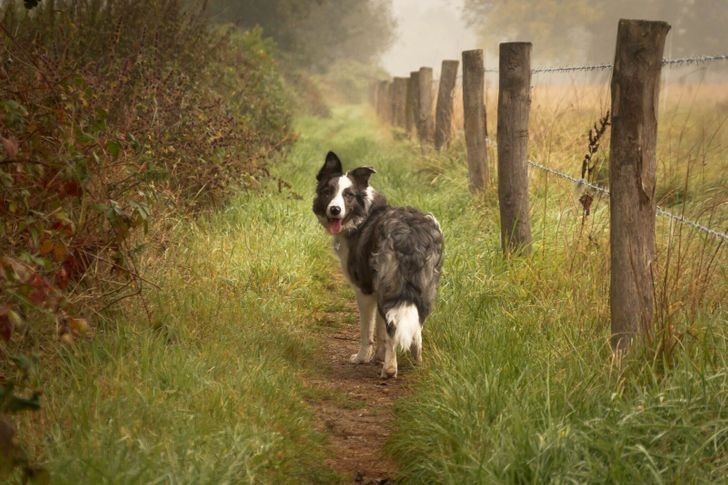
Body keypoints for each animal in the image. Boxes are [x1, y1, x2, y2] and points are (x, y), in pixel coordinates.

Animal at [312, 151, 444, 378]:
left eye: (348, 195)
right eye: (328, 192)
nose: (335, 210)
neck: (362, 215)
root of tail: (410, 234)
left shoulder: (364, 290)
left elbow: (369, 331)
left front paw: (363, 358)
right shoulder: (377, 289)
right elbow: (382, 330)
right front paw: (379, 356)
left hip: (388, 286)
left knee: (393, 326)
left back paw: (390, 369)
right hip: (424, 288)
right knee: (416, 326)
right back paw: (417, 363)